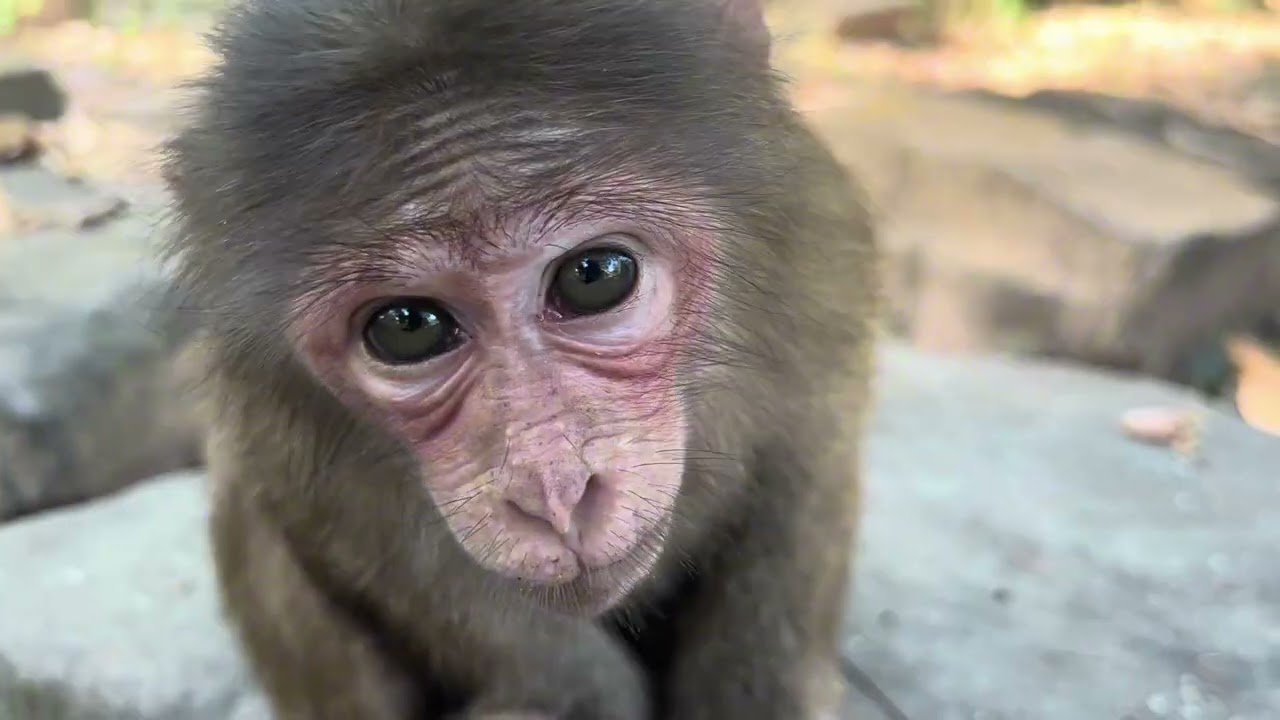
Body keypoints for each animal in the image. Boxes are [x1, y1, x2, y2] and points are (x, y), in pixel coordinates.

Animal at [161, 0, 878, 718]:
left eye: (595, 276)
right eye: (407, 327)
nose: (551, 492)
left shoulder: (820, 265)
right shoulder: (269, 415)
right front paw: (575, 690)